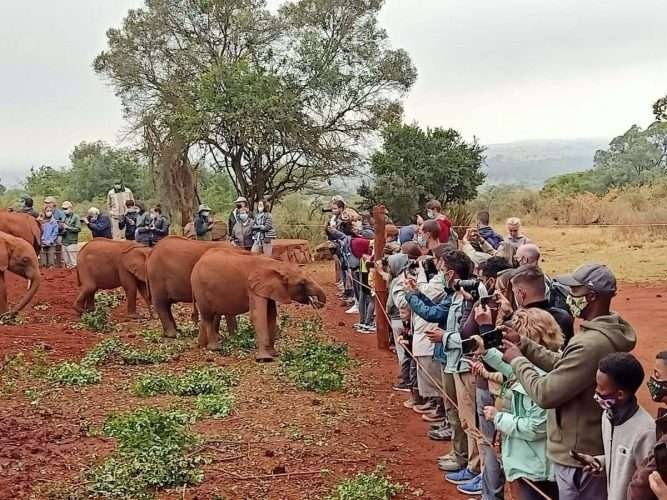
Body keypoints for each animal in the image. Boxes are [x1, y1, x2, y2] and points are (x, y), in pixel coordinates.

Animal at [191, 248, 326, 361]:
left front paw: (274, 354)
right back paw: (214, 348)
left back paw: (201, 345)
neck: (276, 265)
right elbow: (258, 316)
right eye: (302, 283)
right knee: (208, 316)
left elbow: (271, 316)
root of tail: (198, 262)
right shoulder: (253, 288)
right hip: (199, 287)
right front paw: (265, 359)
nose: (317, 303)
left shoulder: (269, 289)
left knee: (209, 316)